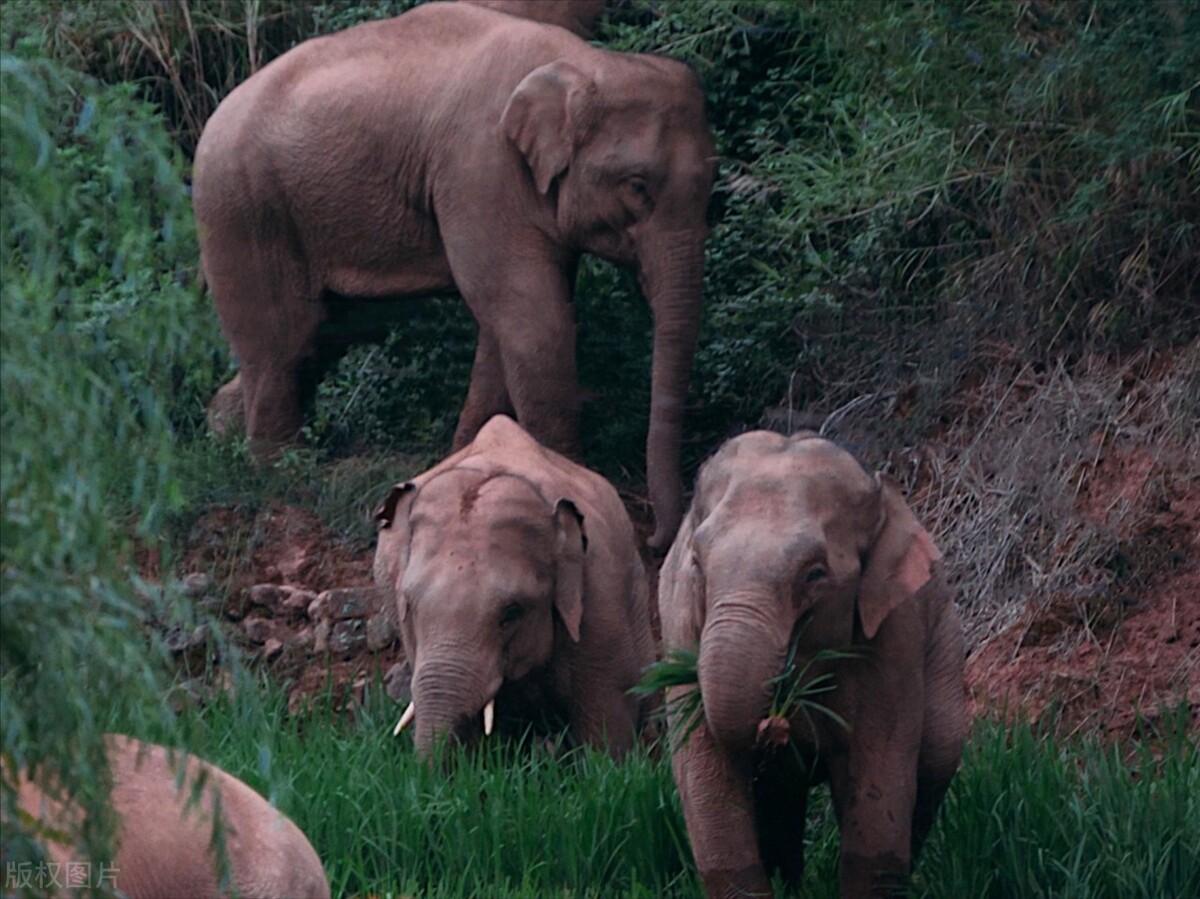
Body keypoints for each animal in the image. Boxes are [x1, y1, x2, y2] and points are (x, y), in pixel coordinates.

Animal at [189, 0, 710, 547]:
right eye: (637, 186)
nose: (652, 537)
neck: (581, 63)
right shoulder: (480, 170)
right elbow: (533, 319)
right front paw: (574, 486)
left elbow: (506, 324)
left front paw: (464, 457)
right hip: (241, 208)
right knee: (285, 343)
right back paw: (280, 473)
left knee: (320, 338)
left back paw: (223, 434)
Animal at [657, 432, 964, 892]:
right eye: (696, 564)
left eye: (815, 574)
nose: (774, 723)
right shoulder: (679, 624)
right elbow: (704, 772)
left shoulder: (895, 633)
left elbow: (878, 778)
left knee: (936, 759)